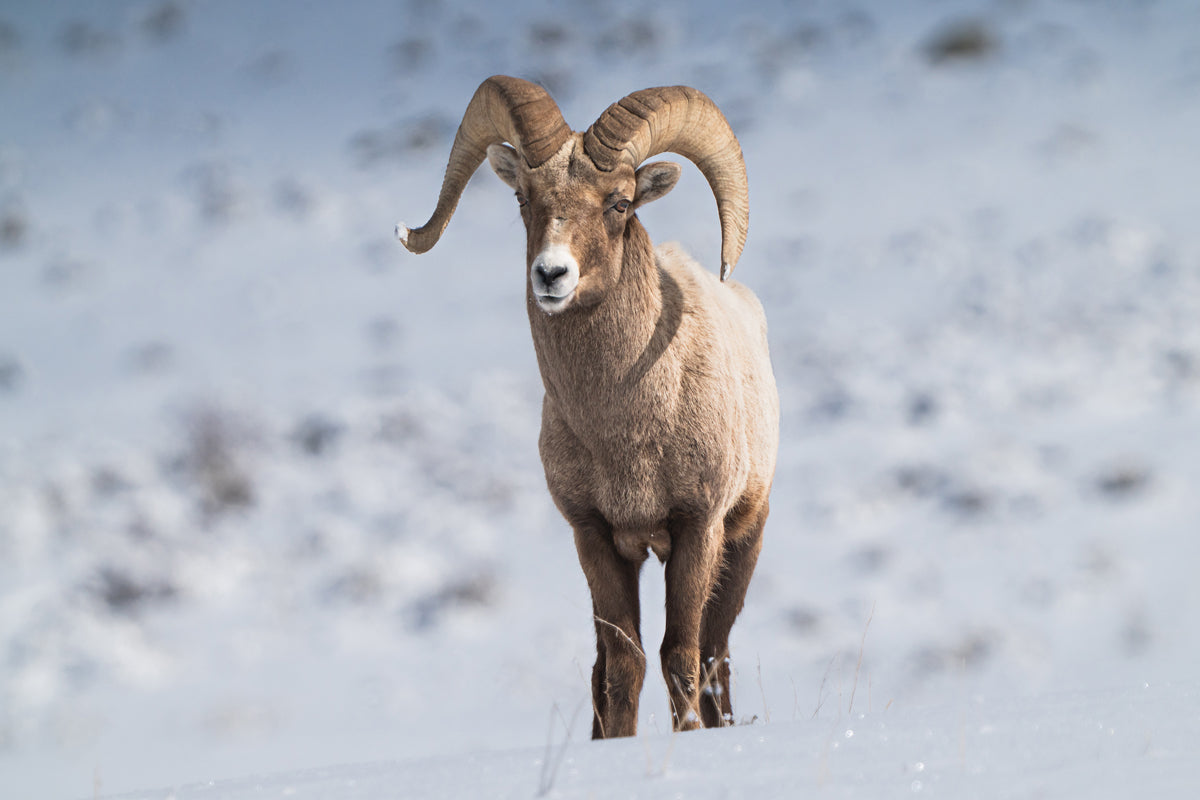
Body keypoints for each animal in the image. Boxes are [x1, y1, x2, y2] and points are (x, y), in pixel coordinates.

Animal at [396, 76, 778, 738]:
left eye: (620, 203)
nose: (551, 274)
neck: (625, 435)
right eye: (522, 197)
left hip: (743, 540)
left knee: (714, 654)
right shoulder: (595, 536)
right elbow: (623, 665)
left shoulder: (697, 529)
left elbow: (680, 655)